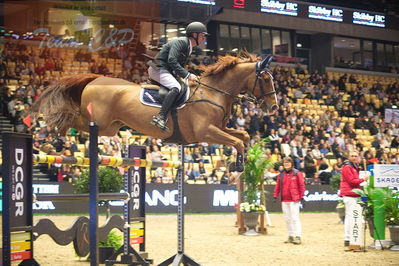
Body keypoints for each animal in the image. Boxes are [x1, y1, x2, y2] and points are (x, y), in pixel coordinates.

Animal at [32, 52, 278, 170]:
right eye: (266, 79)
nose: (274, 107)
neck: (213, 92)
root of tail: (95, 78)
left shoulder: (218, 128)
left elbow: (243, 136)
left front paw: (242, 161)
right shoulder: (205, 132)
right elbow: (237, 141)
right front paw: (239, 165)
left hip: (109, 127)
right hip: (98, 122)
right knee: (70, 119)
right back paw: (53, 137)